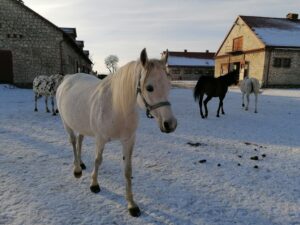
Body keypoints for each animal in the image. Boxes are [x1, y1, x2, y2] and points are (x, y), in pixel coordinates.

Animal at [56, 48, 177, 216]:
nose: (170, 124)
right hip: (66, 123)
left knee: (79, 141)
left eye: (168, 86)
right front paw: (94, 185)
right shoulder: (100, 139)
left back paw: (81, 163)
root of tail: (67, 78)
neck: (116, 106)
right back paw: (77, 169)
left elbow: (127, 170)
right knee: (73, 142)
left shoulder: (128, 140)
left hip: (81, 125)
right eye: (149, 87)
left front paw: (132, 204)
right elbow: (98, 160)